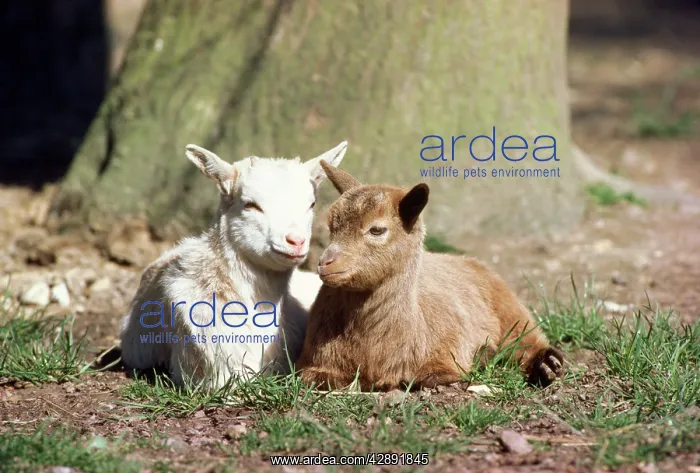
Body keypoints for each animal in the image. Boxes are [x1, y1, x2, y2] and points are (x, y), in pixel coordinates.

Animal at [296, 161, 565, 391]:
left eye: (377, 229)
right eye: (331, 226)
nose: (325, 263)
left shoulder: (447, 348)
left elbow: (429, 378)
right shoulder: (314, 363)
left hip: (509, 306)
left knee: (526, 337)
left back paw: (547, 364)